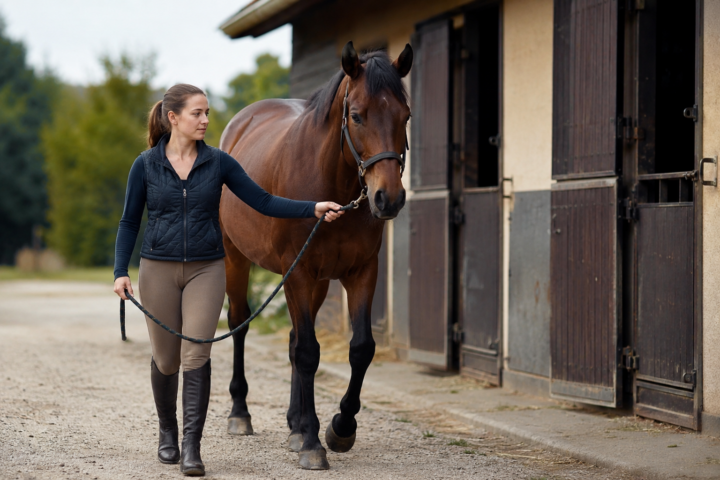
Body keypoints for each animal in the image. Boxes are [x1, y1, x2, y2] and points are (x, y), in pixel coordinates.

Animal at [218, 41, 413, 470]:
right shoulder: (298, 272)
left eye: (405, 115)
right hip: (235, 258)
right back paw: (241, 414)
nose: (388, 198)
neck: (331, 183)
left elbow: (360, 348)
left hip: (318, 281)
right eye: (356, 115)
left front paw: (340, 428)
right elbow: (309, 352)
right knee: (239, 324)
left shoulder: (360, 272)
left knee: (293, 338)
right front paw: (312, 443)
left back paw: (295, 423)